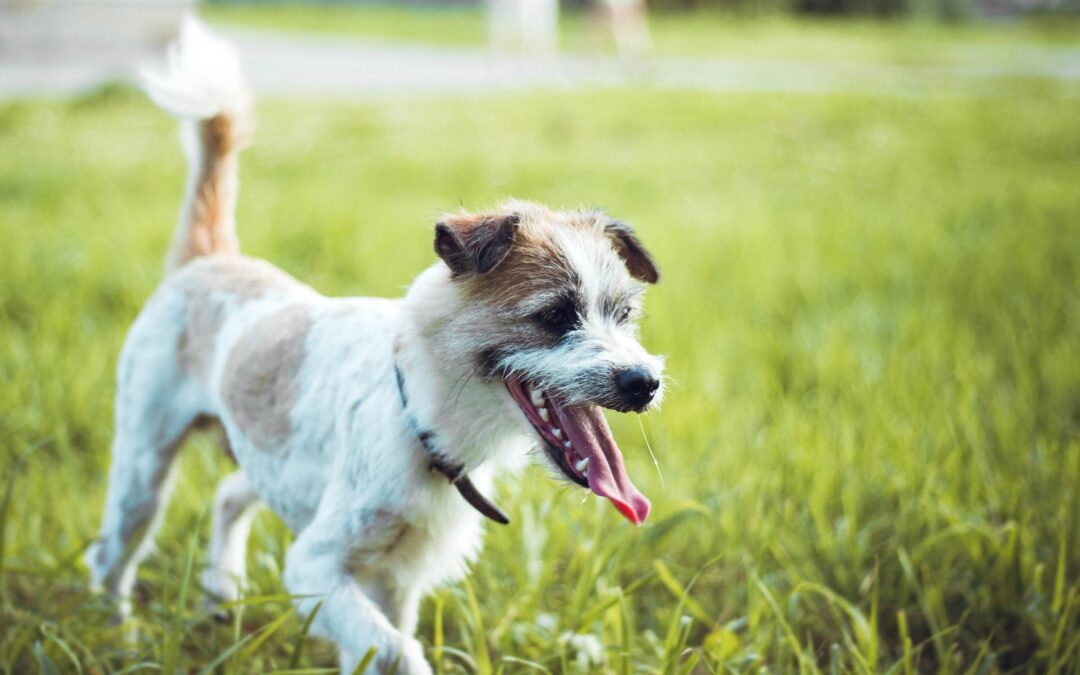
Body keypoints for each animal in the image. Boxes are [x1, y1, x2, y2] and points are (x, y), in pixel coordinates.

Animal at [86, 17, 665, 673]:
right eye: (554, 316)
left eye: (624, 315)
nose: (643, 383)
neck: (417, 414)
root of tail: (211, 258)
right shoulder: (317, 566)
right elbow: (394, 647)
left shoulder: (393, 579)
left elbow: (387, 634)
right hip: (142, 467)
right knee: (111, 554)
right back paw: (120, 635)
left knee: (230, 494)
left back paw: (220, 591)